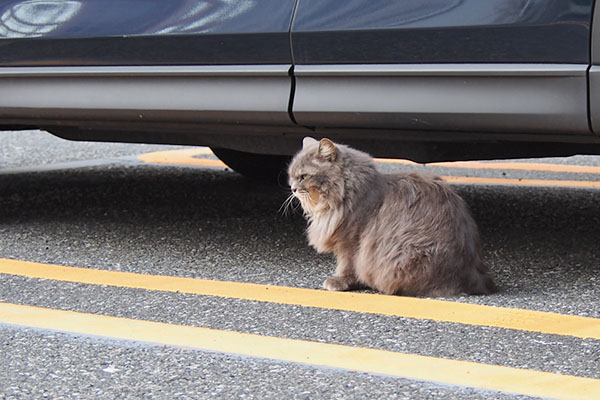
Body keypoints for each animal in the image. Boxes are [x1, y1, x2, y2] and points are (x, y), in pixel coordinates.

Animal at [286, 138, 496, 296]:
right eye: (292, 176)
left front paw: (339, 282)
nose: (293, 189)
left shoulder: (352, 241)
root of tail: (476, 276)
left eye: (303, 176)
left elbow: (347, 265)